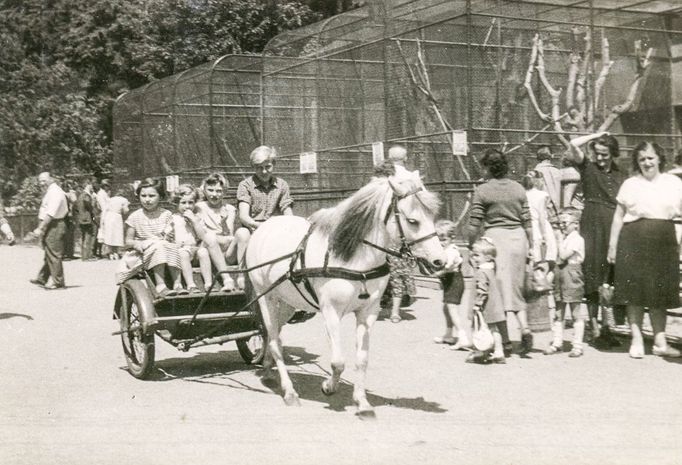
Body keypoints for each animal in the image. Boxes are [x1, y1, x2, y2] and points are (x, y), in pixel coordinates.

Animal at [246, 171, 446, 416]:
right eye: (412, 221)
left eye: (432, 216)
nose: (440, 261)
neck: (355, 260)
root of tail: (265, 226)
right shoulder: (331, 312)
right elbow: (338, 361)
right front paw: (328, 386)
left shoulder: (368, 313)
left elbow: (362, 359)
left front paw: (362, 403)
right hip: (266, 297)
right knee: (275, 341)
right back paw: (290, 392)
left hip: (287, 303)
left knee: (271, 334)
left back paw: (267, 370)